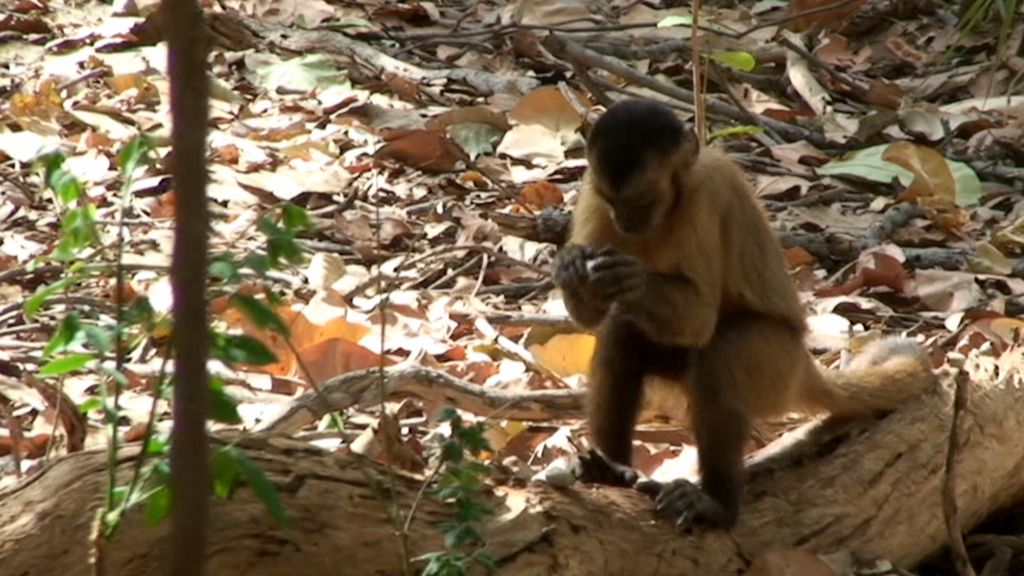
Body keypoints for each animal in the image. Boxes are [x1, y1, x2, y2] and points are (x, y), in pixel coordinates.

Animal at [552, 98, 937, 531]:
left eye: (642, 202)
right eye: (614, 203)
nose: (625, 222)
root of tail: (804, 366)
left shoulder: (706, 194)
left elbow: (700, 321)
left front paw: (629, 277)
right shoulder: (592, 192)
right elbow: (591, 319)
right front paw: (571, 270)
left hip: (776, 367)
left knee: (722, 352)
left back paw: (717, 505)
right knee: (623, 334)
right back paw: (612, 470)